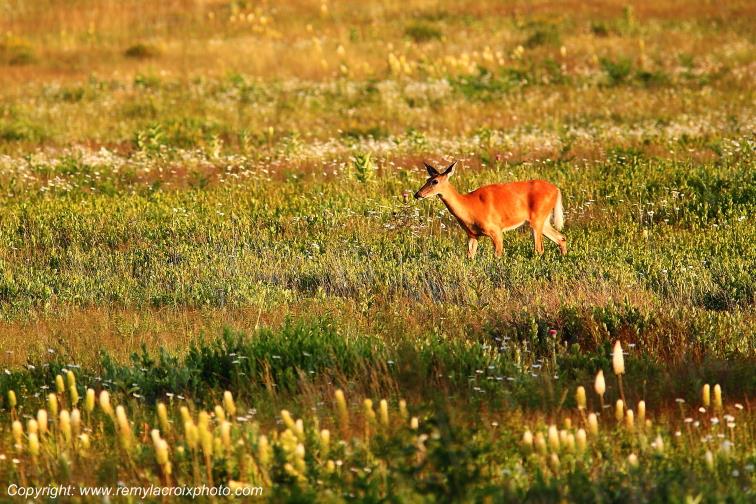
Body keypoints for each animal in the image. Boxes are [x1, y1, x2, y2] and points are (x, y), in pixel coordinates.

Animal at [414, 161, 567, 258]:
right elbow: (469, 257)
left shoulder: (496, 230)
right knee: (561, 238)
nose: (417, 194)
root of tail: (556, 189)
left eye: (435, 181)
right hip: (543, 220)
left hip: (537, 218)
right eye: (426, 180)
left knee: (539, 249)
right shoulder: (472, 234)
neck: (469, 206)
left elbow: (497, 256)